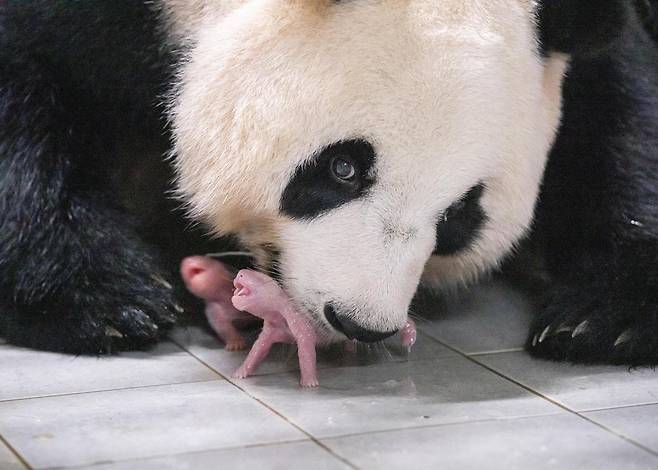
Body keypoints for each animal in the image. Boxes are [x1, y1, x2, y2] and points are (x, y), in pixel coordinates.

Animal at [0, 1, 652, 366]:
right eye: (343, 168)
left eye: (460, 216)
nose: (360, 322)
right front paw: (106, 299)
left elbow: (619, 110)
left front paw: (603, 321)